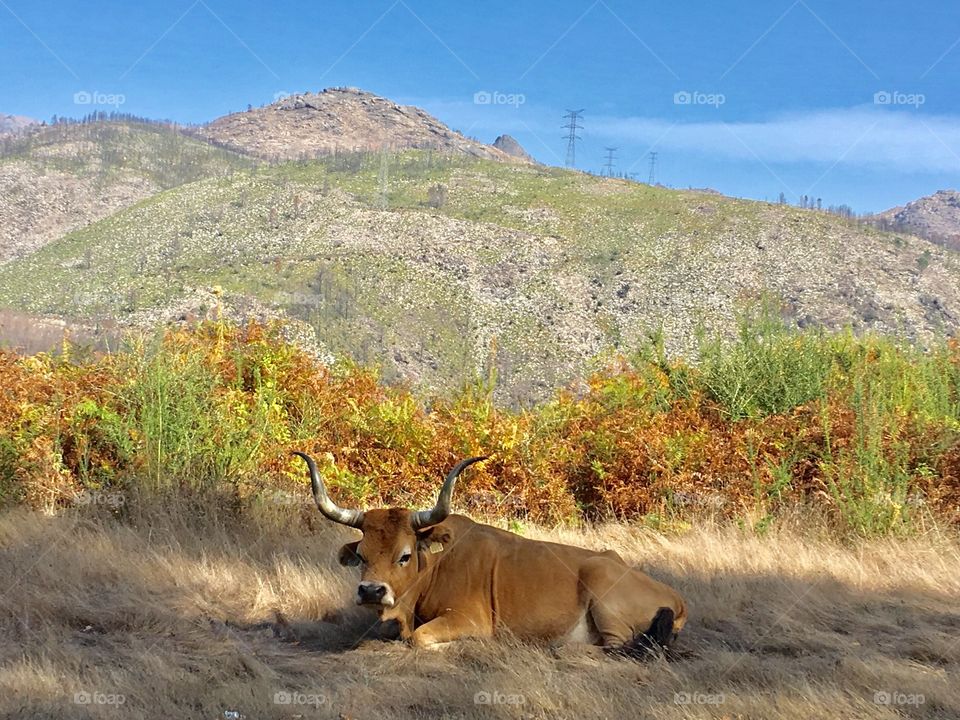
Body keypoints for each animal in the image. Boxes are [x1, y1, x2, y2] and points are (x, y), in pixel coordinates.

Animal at [296, 452, 688, 656]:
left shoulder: (468, 620)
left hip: (601, 584)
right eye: (362, 554)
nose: (371, 591)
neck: (437, 564)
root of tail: (675, 597)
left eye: (404, 555)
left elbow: (418, 638)